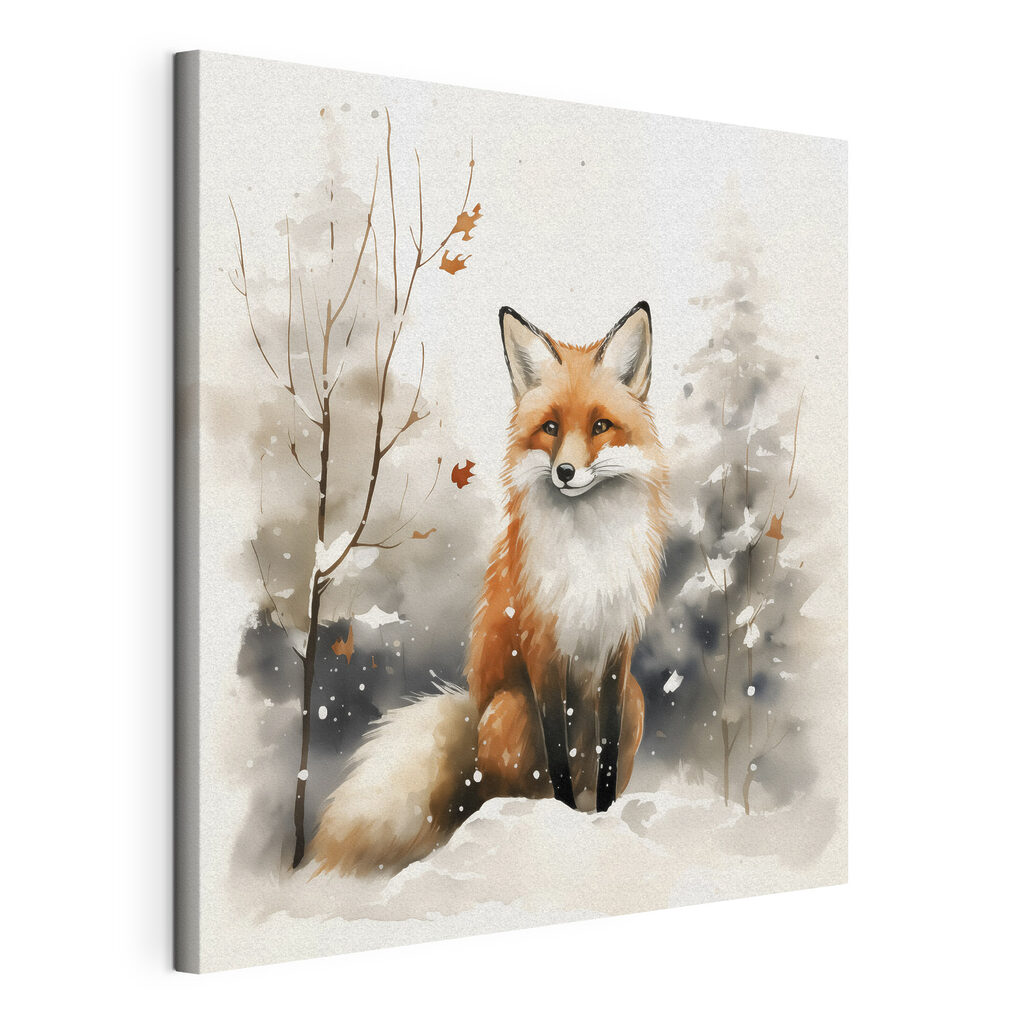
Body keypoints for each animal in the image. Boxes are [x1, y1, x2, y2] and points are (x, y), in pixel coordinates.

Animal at [309, 301, 669, 875]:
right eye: (550, 427)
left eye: (600, 426)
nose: (566, 472)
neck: (586, 550)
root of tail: (473, 717)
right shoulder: (543, 651)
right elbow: (558, 754)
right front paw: (566, 824)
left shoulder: (617, 653)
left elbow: (607, 760)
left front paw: (603, 819)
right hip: (509, 708)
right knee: (506, 793)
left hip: (635, 696)